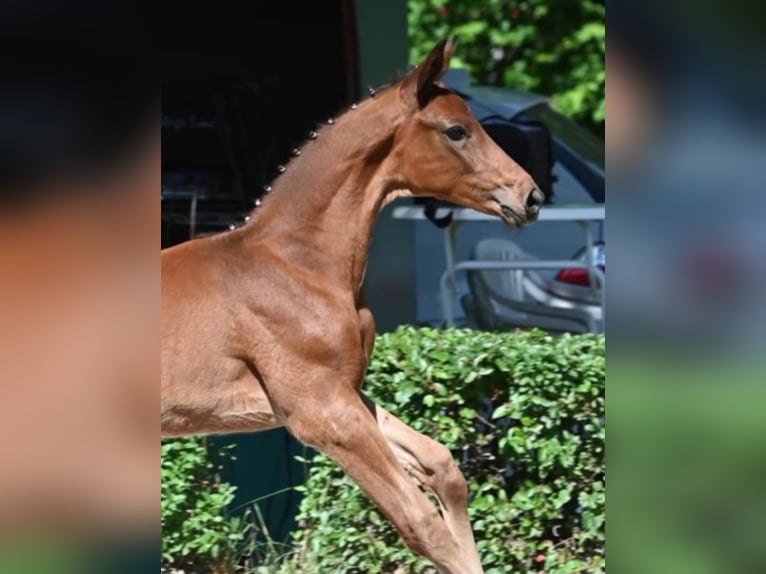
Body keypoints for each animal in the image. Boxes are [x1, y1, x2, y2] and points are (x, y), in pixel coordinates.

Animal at [164, 38, 544, 572]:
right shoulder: (320, 412)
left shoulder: (344, 394)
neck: (302, 266)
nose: (530, 196)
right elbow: (421, 522)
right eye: (456, 130)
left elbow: (441, 464)